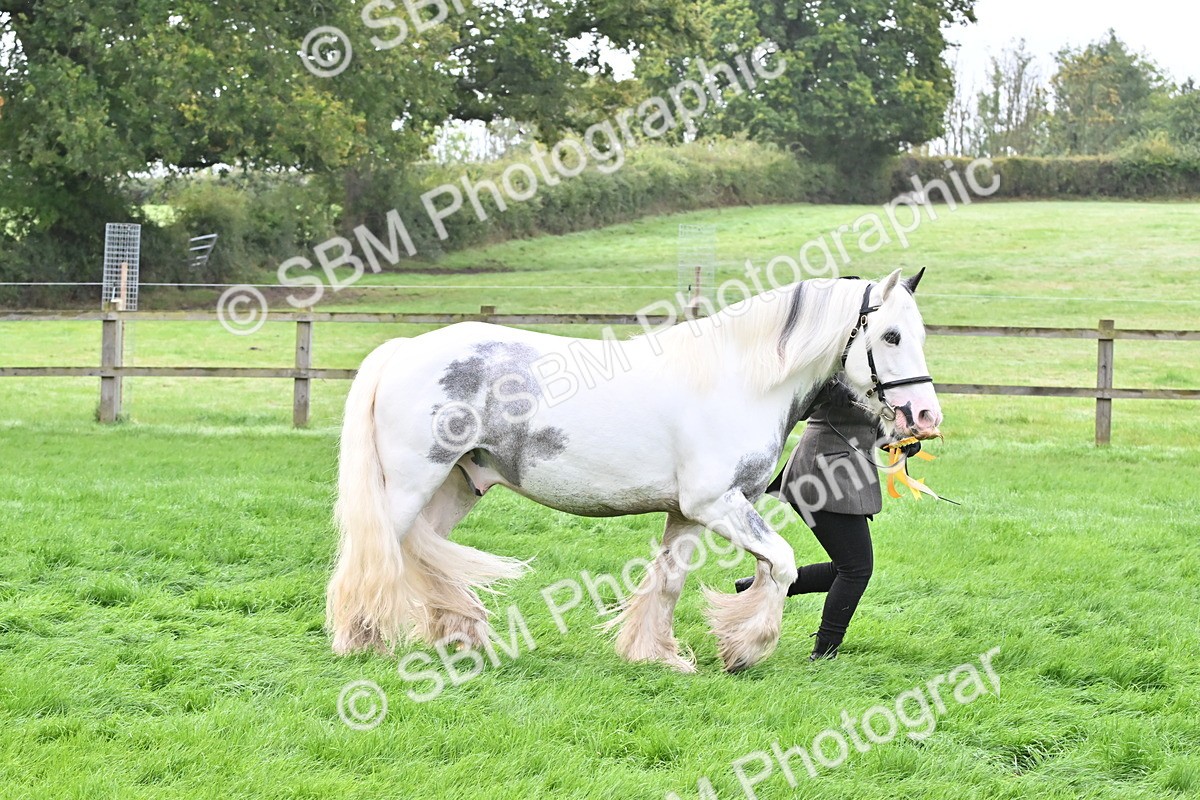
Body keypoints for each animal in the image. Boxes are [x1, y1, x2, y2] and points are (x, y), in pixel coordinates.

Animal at [326, 268, 943, 672]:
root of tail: (403, 349)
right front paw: (745, 649)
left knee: (419, 550)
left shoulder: (689, 515)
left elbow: (671, 581)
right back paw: (361, 642)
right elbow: (784, 563)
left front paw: (658, 655)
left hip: (458, 485)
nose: (925, 417)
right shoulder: (715, 505)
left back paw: (462, 636)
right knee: (376, 551)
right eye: (890, 336)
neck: (741, 380)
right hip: (410, 484)